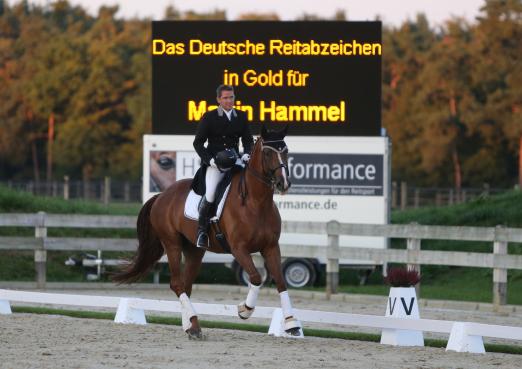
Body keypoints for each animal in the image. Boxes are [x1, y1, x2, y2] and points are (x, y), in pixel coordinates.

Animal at [114, 126, 300, 340]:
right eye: (268, 153)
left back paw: (191, 326)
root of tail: (161, 195)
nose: (284, 184)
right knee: (177, 284)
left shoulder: (271, 247)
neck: (256, 202)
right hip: (172, 244)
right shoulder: (239, 249)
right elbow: (255, 278)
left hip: (194, 250)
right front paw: (245, 310)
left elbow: (281, 282)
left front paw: (291, 323)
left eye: (286, 151)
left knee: (185, 285)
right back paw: (193, 325)